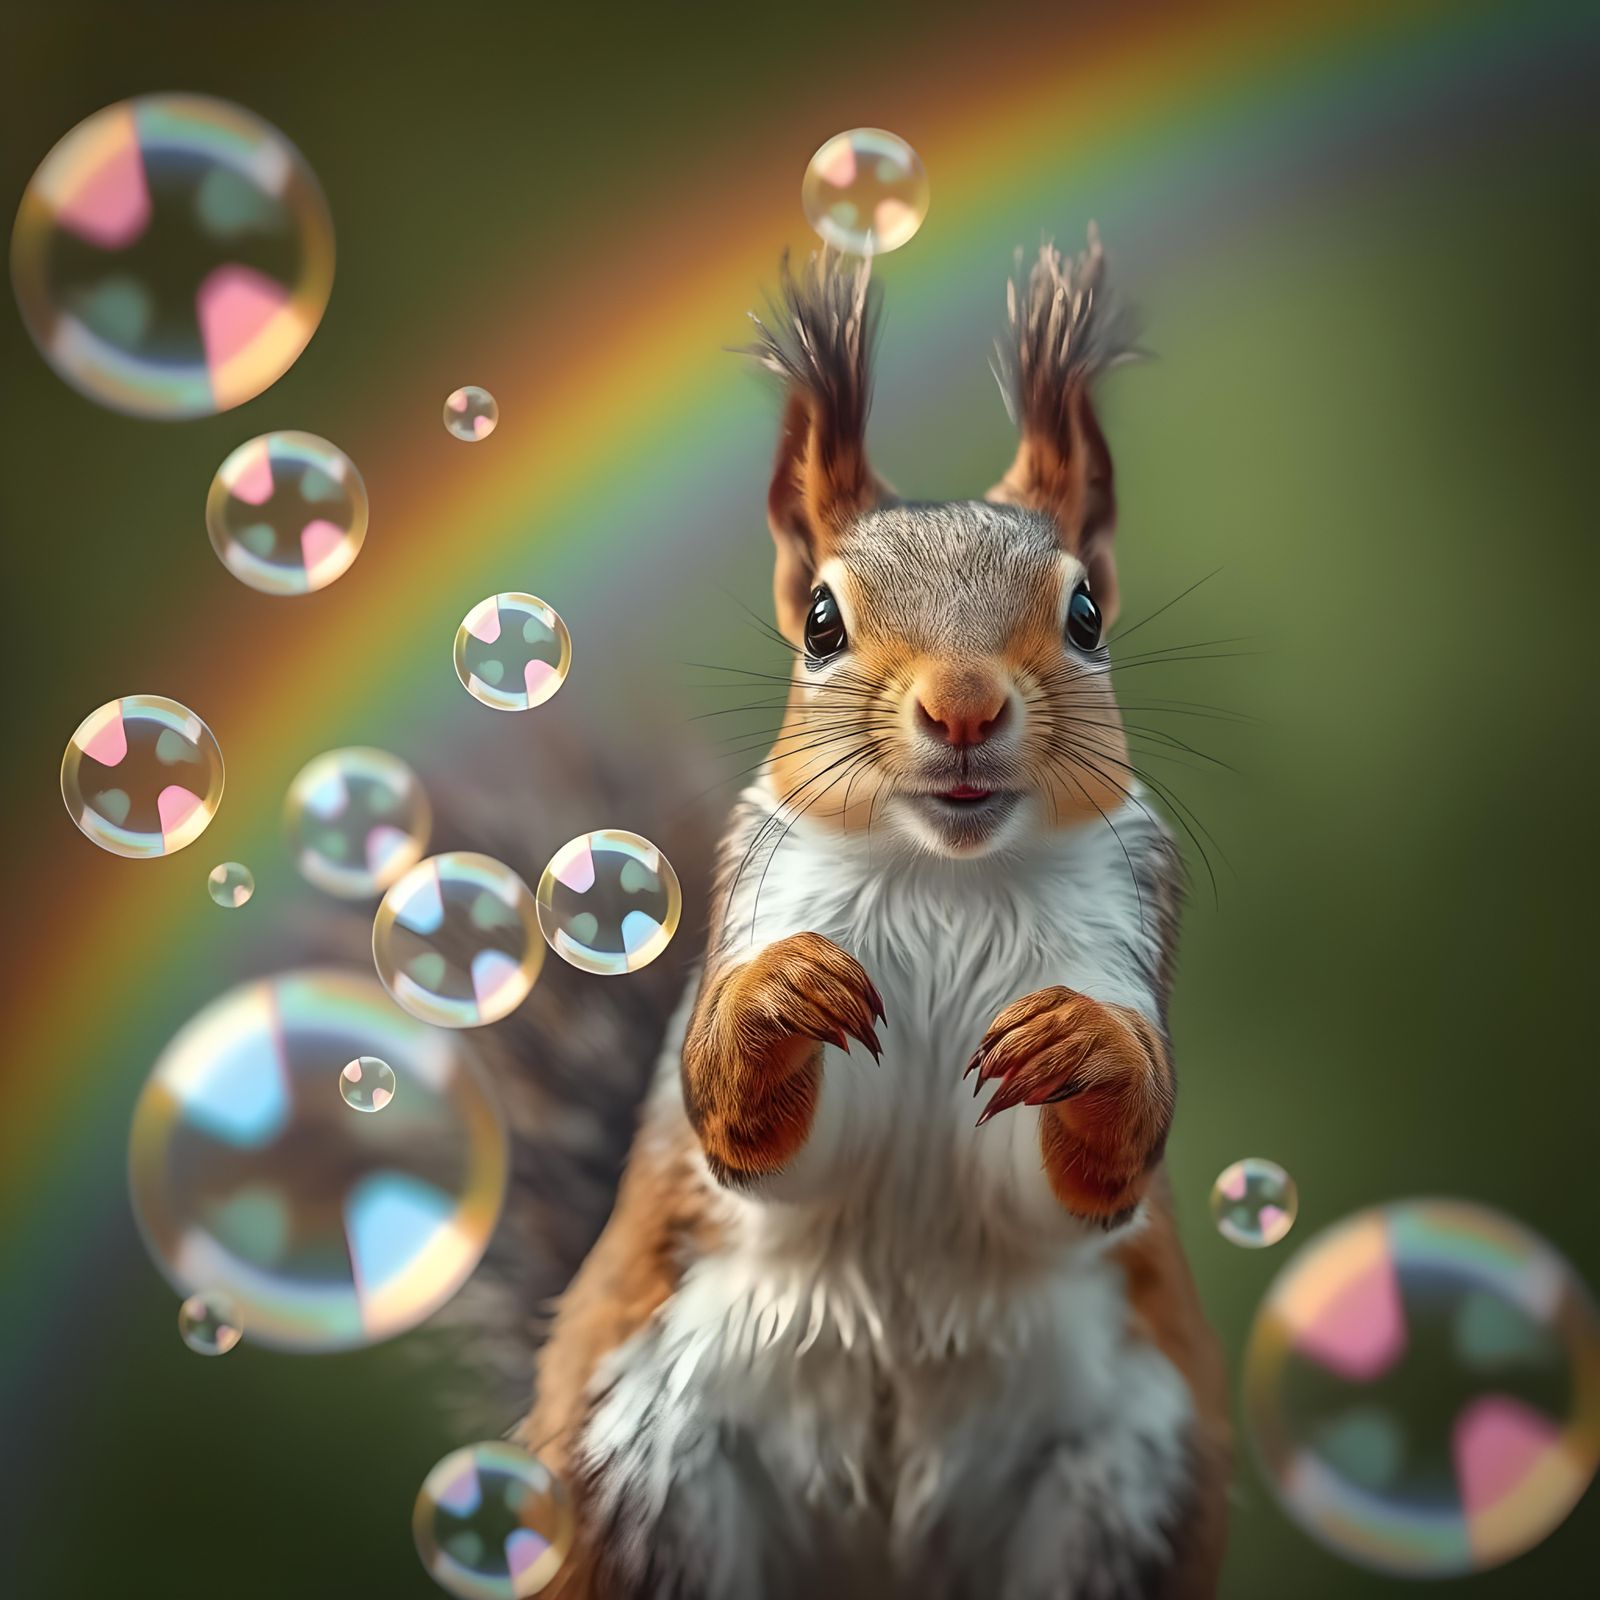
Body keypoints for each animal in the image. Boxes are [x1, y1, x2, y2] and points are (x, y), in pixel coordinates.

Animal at [507, 231, 1231, 1600]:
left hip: (1116, 1498)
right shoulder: (757, 906)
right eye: (821, 622)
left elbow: (1091, 1172)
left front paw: (1081, 1046)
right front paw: (783, 994)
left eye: (1086, 616)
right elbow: (745, 1131)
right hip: (647, 1480)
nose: (961, 707)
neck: (947, 877)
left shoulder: (1124, 929)